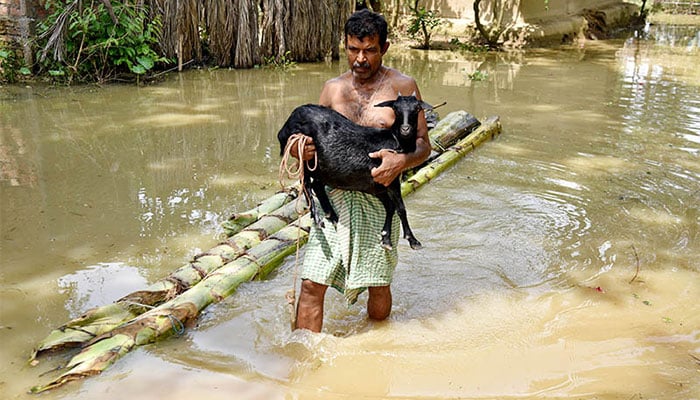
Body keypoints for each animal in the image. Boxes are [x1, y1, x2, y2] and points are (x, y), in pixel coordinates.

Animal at [278, 94, 430, 250]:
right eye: (396, 109)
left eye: (417, 108)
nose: (405, 129)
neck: (395, 139)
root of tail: (289, 121)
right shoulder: (390, 179)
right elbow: (400, 208)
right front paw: (413, 240)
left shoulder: (378, 183)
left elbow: (390, 207)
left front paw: (386, 238)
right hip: (305, 153)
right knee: (306, 183)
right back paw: (318, 217)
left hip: (323, 169)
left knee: (317, 186)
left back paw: (332, 216)